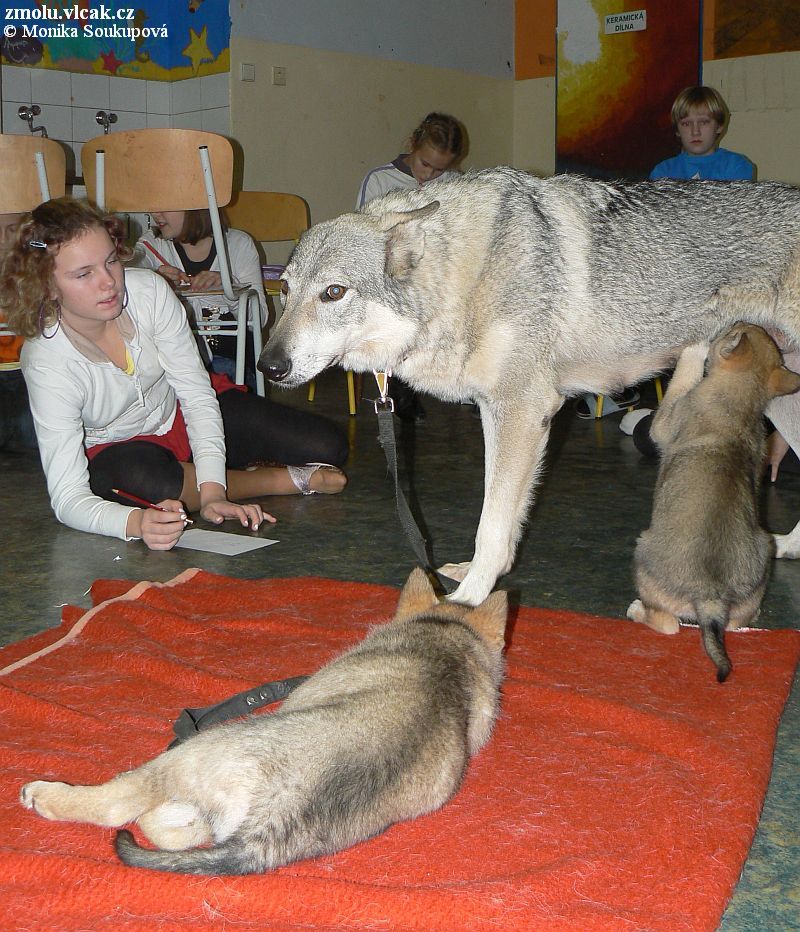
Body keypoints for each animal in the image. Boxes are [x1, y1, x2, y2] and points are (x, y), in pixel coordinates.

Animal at [260, 167, 800, 604]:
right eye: (284, 290)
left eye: (334, 292)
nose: (268, 366)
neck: (467, 274)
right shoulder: (497, 412)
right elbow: (503, 520)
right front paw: (474, 576)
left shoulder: (522, 410)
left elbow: (492, 524)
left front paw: (468, 600)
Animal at [624, 324, 800, 680]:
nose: (736, 322)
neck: (742, 399)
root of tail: (710, 597)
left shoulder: (664, 422)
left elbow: (682, 377)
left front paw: (695, 347)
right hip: (759, 561)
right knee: (734, 626)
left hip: (643, 553)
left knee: (668, 625)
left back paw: (637, 610)